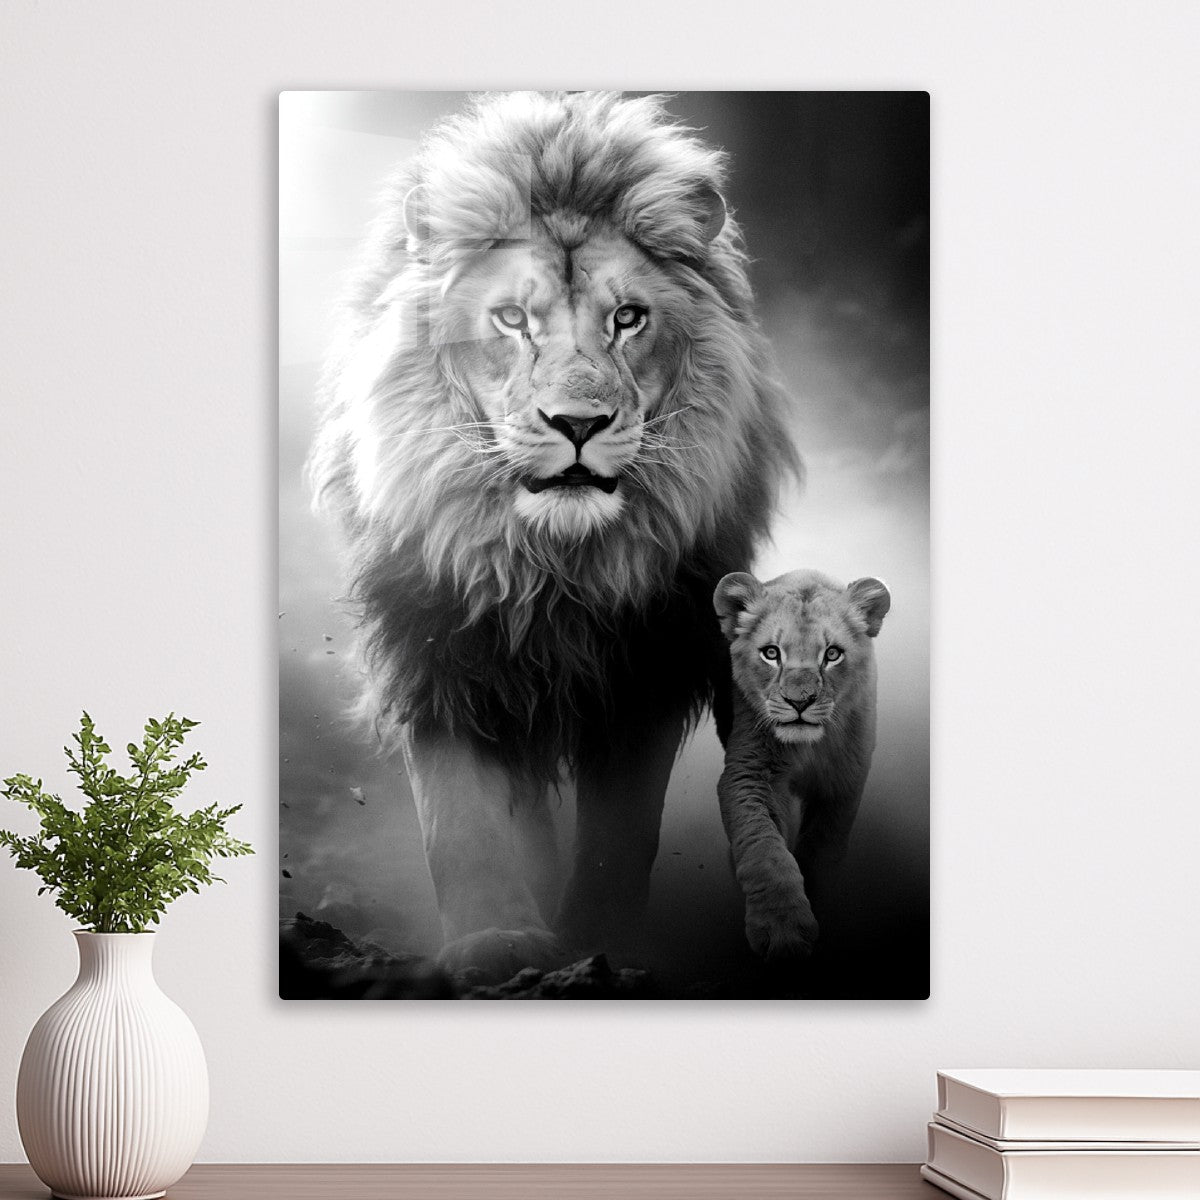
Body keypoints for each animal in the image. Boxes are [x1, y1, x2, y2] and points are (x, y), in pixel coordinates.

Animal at [308, 91, 798, 983]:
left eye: (628, 318)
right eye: (511, 319)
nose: (577, 424)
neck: (553, 565)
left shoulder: (648, 662)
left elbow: (621, 832)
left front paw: (602, 942)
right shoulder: (434, 644)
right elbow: (460, 818)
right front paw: (496, 942)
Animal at [713, 569, 890, 962]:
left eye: (832, 654)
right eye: (771, 653)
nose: (799, 702)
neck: (806, 748)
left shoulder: (843, 783)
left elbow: (822, 847)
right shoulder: (749, 773)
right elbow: (763, 848)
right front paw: (782, 929)